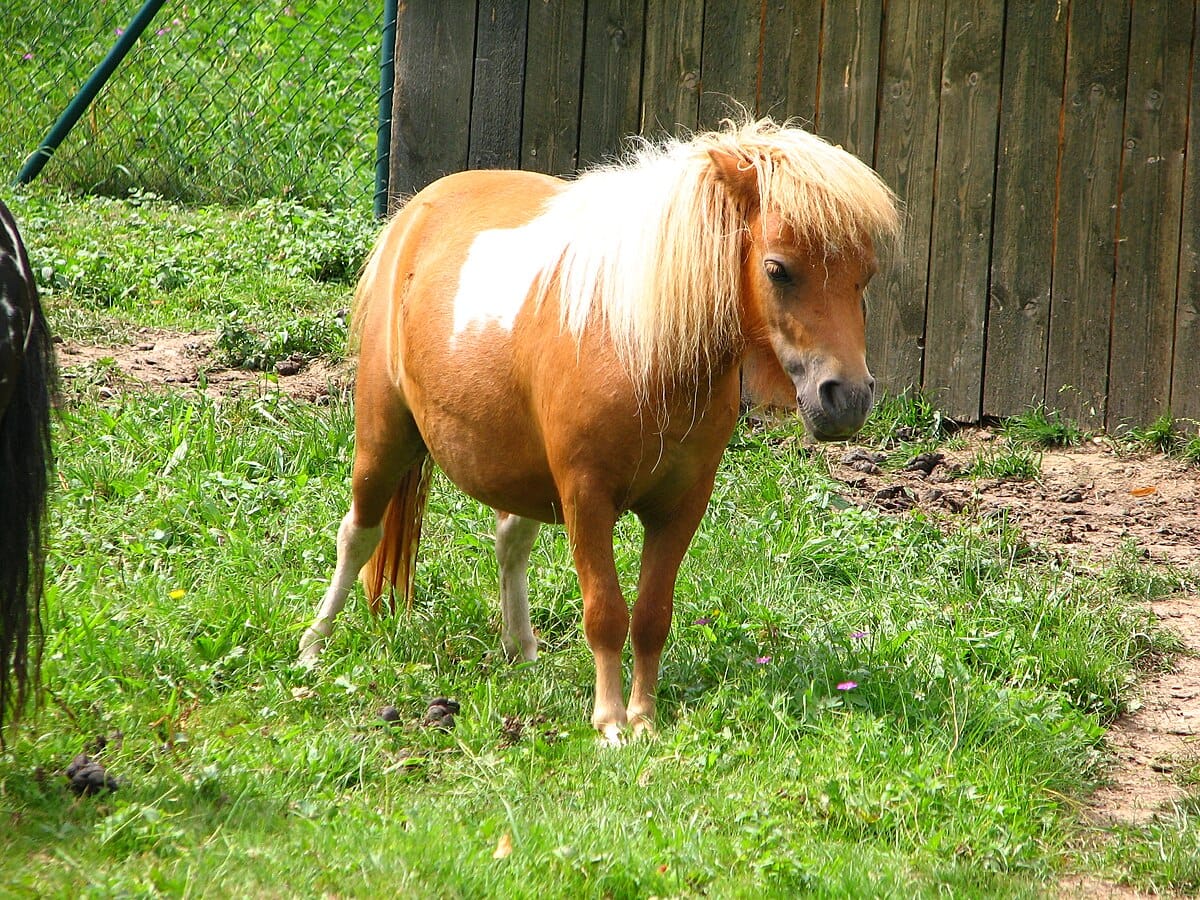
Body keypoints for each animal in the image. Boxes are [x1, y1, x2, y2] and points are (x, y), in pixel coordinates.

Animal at [299, 118, 899, 743]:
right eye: (778, 269)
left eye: (866, 275)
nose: (847, 398)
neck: (639, 346)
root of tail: (417, 210)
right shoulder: (586, 498)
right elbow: (606, 613)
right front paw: (610, 722)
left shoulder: (680, 507)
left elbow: (652, 615)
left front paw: (644, 719)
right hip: (383, 436)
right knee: (358, 532)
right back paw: (313, 647)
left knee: (509, 541)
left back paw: (521, 650)